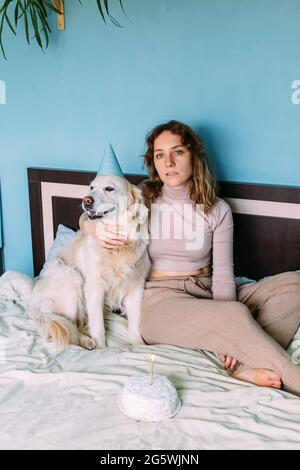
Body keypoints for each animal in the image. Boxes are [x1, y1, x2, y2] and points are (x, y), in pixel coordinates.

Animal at [29, 175, 151, 348]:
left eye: (109, 188)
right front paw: (101, 347)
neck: (118, 245)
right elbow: (98, 325)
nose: (86, 200)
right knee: (72, 325)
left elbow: (135, 323)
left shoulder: (136, 288)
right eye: (92, 187)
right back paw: (87, 341)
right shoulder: (95, 287)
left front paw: (138, 344)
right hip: (71, 278)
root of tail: (32, 304)